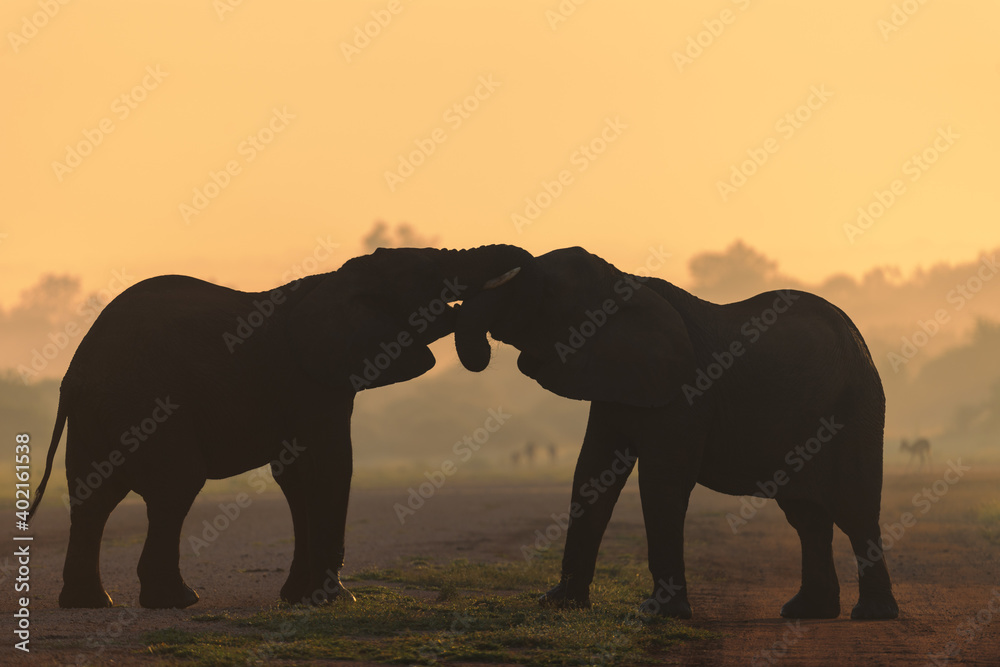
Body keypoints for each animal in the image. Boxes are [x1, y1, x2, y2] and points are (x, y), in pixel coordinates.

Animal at [29, 247, 532, 612]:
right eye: (429, 274)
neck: (338, 278)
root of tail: (75, 371)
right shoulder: (312, 383)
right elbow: (331, 466)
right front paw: (337, 600)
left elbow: (294, 476)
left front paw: (297, 599)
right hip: (145, 404)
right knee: (175, 487)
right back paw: (175, 602)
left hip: (99, 414)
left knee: (92, 497)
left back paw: (90, 604)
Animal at [458, 245, 904, 620]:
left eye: (544, 295)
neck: (622, 281)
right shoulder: (615, 379)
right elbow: (592, 472)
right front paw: (558, 603)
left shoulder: (688, 389)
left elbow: (661, 479)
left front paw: (658, 614)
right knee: (807, 516)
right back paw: (806, 611)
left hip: (854, 412)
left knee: (856, 510)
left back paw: (871, 615)